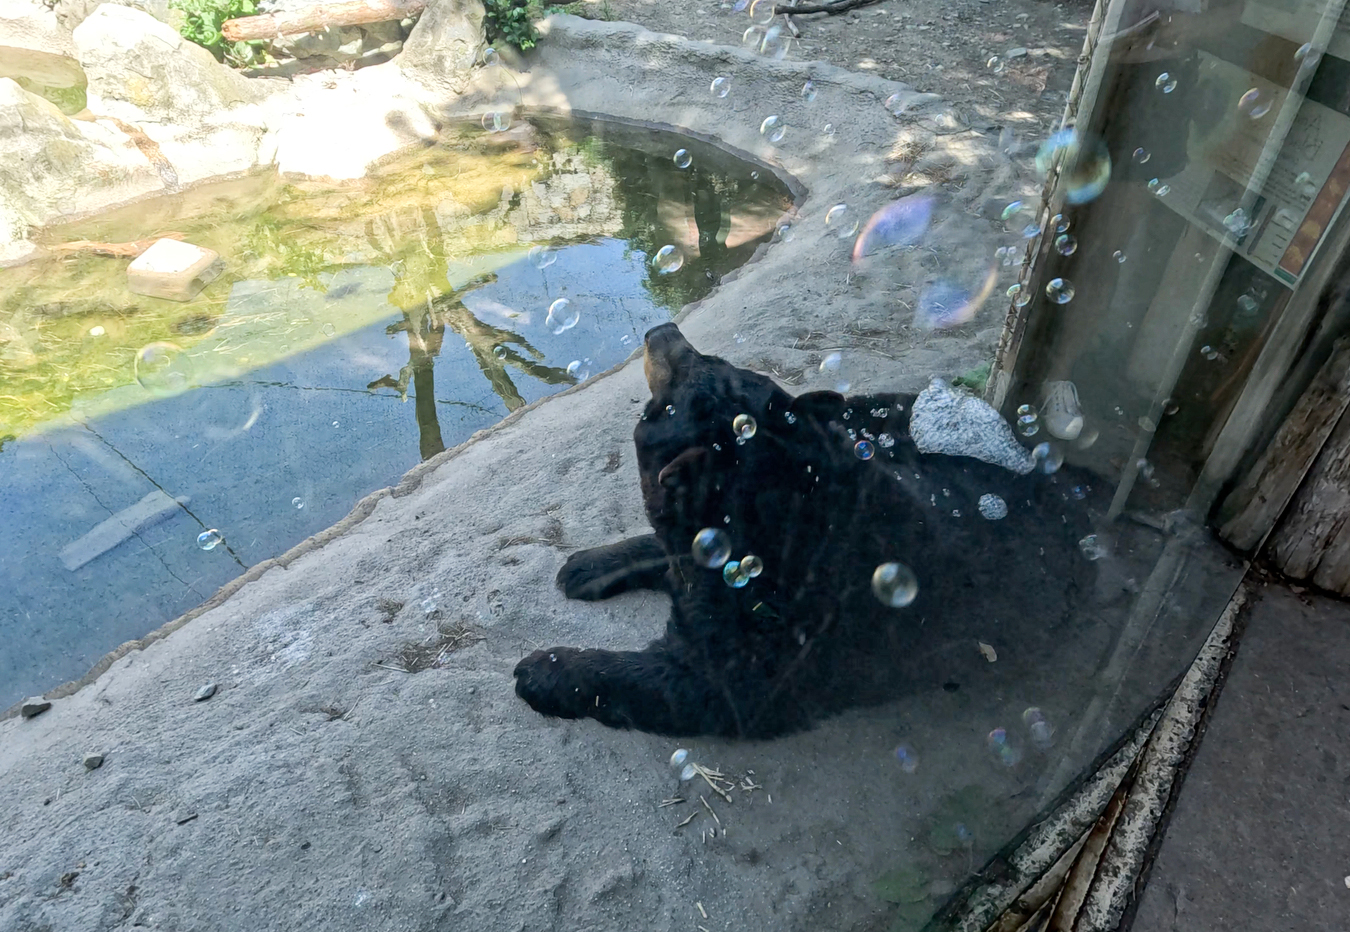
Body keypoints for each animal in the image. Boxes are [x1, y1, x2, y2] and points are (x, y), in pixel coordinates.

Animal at [513, 323, 1102, 739]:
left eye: (663, 402)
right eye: (713, 357)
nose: (663, 329)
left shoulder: (741, 669)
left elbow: (651, 679)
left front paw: (546, 668)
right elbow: (666, 551)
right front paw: (590, 564)